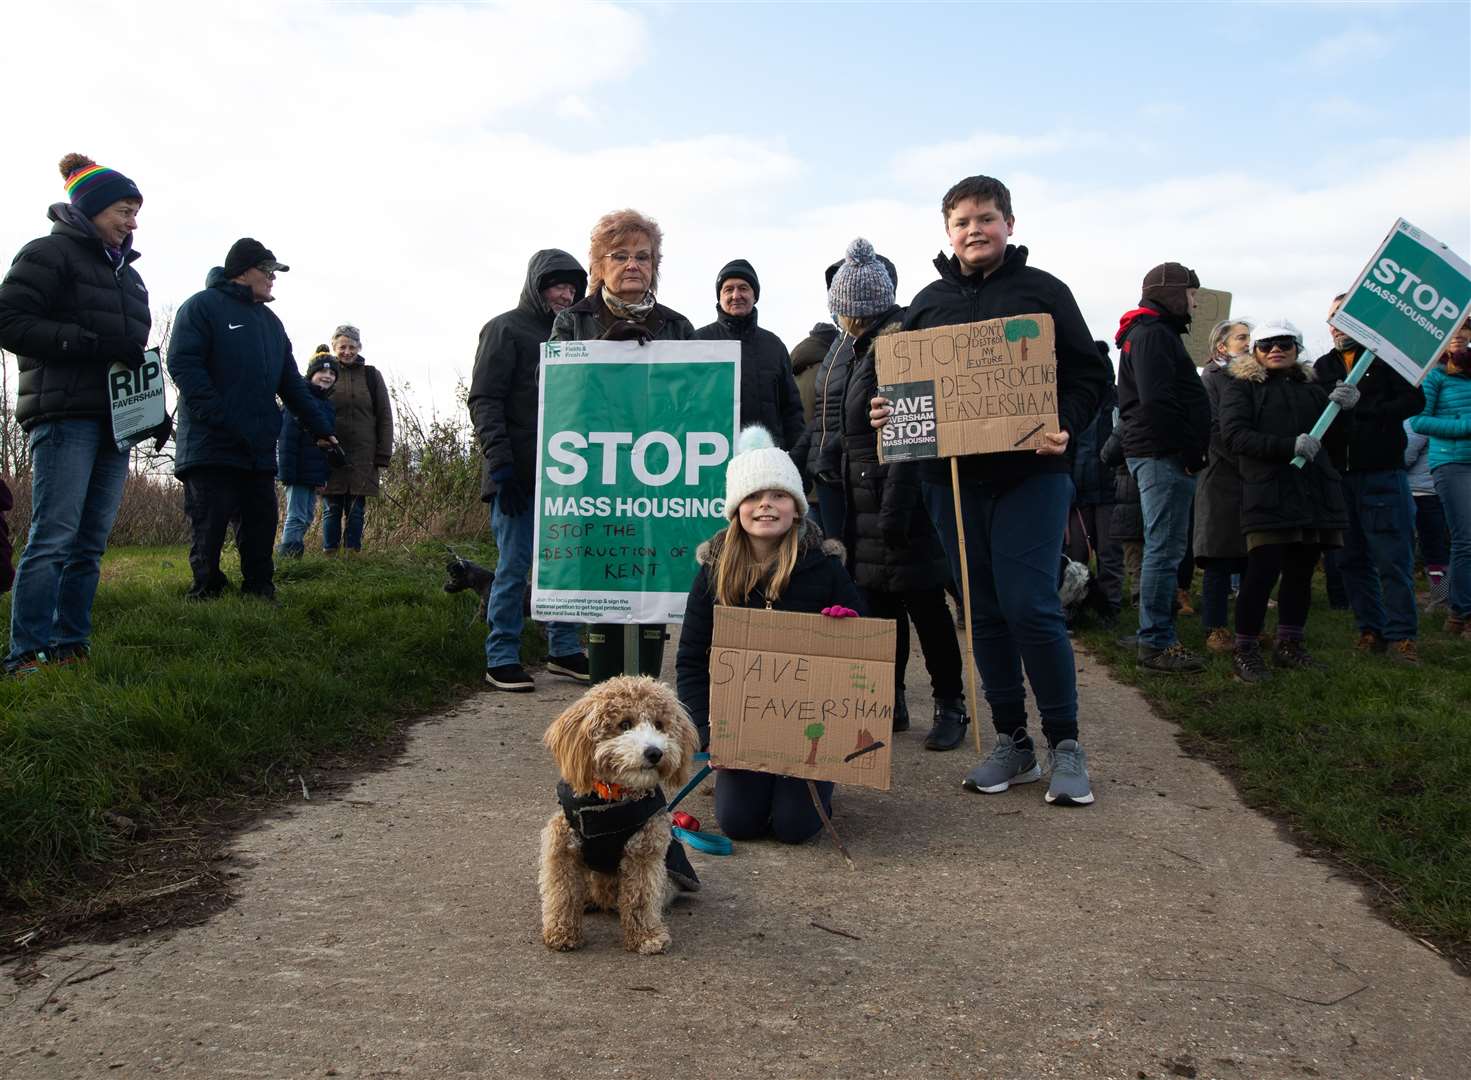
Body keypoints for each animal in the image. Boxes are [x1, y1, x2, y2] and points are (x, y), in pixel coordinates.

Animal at [541, 676, 700, 953]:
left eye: (660, 725)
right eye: (625, 724)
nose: (655, 752)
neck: (611, 800)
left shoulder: (644, 851)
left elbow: (640, 897)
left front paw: (646, 936)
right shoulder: (563, 845)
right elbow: (563, 893)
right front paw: (562, 933)